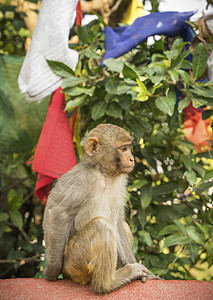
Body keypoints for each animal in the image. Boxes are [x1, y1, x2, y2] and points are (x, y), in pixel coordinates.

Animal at [42, 123, 160, 292]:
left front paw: (148, 274)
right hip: (74, 261)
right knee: (101, 225)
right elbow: (58, 213)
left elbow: (117, 223)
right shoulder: (80, 180)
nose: (131, 158)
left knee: (118, 226)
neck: (104, 173)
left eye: (128, 148)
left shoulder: (120, 183)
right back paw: (107, 283)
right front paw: (52, 270)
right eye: (123, 149)